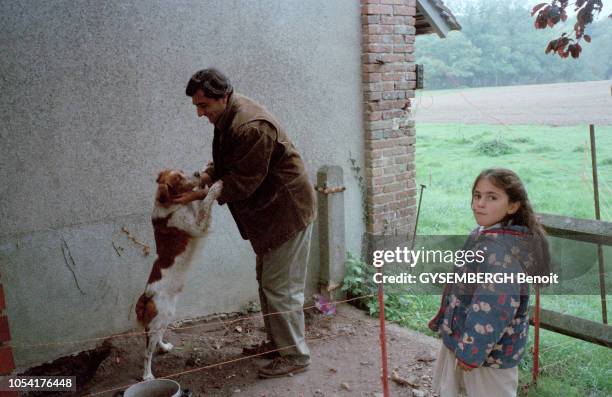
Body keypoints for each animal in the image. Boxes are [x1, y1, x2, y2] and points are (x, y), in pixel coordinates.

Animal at [135, 169, 221, 378]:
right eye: (178, 179)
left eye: (182, 171)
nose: (198, 172)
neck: (171, 205)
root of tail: (146, 296)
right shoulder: (199, 226)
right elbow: (207, 201)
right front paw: (217, 185)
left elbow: (201, 198)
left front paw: (206, 183)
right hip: (157, 320)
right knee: (147, 353)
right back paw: (147, 376)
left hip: (166, 315)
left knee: (157, 339)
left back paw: (164, 346)